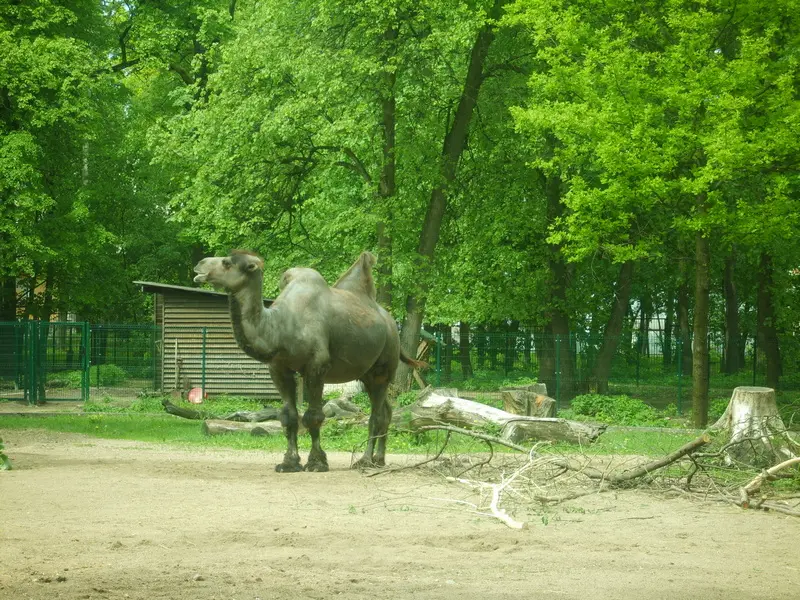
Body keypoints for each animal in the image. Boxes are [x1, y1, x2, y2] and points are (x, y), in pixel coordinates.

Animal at [193, 250, 424, 472]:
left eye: (227, 263)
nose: (199, 265)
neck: (282, 327)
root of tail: (391, 323)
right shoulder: (279, 368)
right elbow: (289, 416)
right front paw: (289, 463)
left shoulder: (317, 366)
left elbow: (314, 416)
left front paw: (317, 463)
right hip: (367, 374)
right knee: (386, 411)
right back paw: (379, 460)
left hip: (383, 366)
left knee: (375, 415)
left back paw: (365, 461)